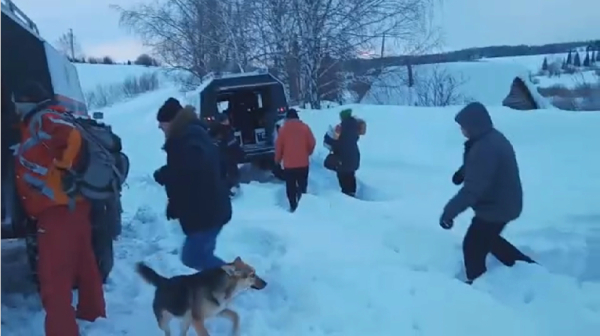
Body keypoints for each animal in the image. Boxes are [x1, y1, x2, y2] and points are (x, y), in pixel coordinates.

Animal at [137, 256, 268, 334]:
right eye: (252, 275)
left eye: (254, 272)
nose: (266, 283)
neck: (224, 287)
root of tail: (163, 281)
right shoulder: (198, 320)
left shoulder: (217, 311)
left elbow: (236, 316)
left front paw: (234, 332)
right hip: (164, 320)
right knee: (166, 330)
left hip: (186, 320)